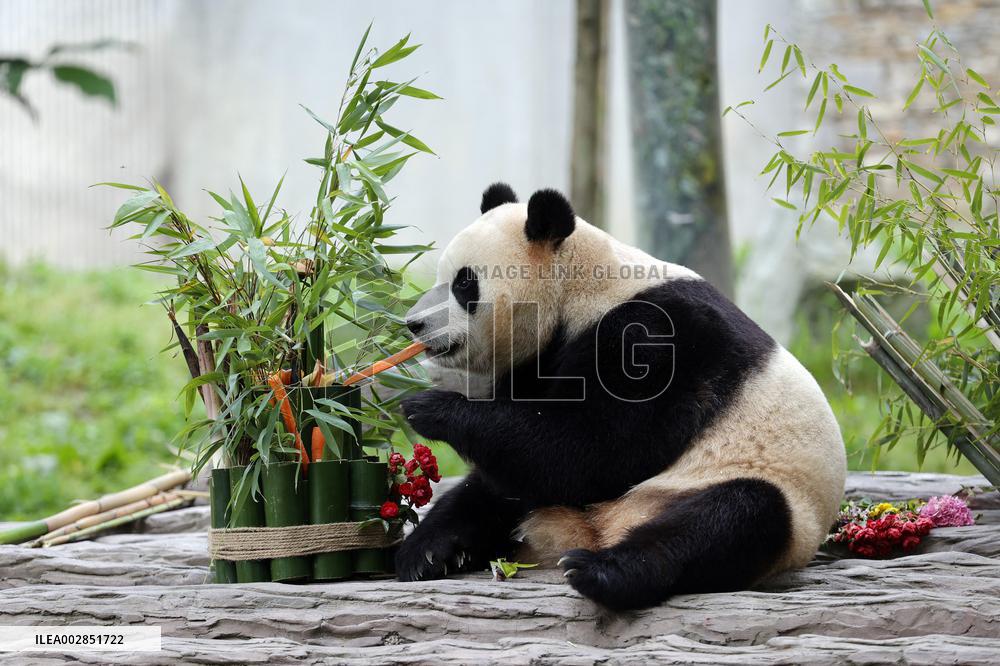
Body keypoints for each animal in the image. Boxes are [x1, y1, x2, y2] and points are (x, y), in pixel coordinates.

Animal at [397, 183, 846, 611]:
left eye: (464, 283)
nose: (414, 324)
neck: (581, 290)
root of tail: (599, 529)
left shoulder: (656, 338)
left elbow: (591, 451)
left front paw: (429, 407)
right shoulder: (541, 361)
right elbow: (533, 455)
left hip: (763, 493)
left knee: (733, 518)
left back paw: (602, 572)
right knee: (489, 491)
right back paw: (426, 552)